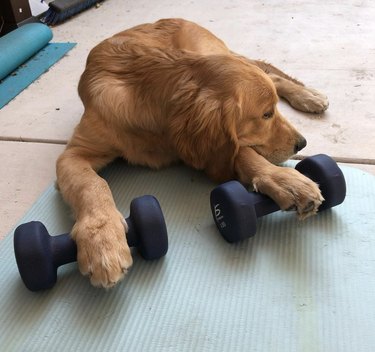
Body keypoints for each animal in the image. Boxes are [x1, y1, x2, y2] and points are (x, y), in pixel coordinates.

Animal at [55, 17, 328, 288]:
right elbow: (92, 184)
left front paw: (286, 181)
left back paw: (308, 96)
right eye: (266, 114)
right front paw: (102, 239)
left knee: (270, 73)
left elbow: (242, 152)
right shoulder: (73, 154)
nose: (302, 143)